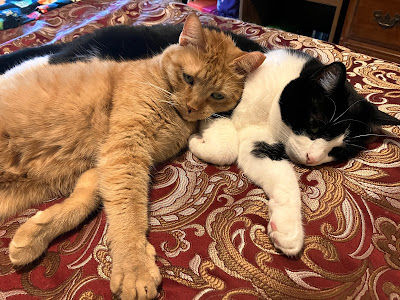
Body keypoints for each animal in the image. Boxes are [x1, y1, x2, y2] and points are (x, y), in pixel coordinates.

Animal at [0, 14, 266, 300]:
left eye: (217, 95)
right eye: (188, 78)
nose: (192, 107)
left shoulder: (105, 164)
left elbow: (85, 202)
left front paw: (35, 235)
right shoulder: (127, 147)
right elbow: (129, 211)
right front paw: (134, 267)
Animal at [188, 49, 400, 255]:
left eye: (338, 151)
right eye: (314, 125)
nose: (311, 158)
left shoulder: (258, 142)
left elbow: (283, 178)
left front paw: (287, 229)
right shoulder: (218, 101)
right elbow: (225, 148)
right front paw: (194, 141)